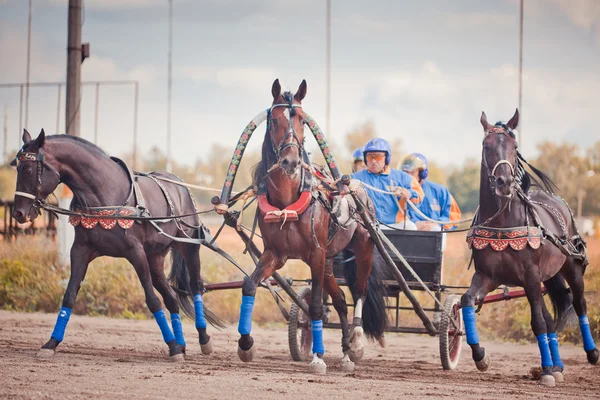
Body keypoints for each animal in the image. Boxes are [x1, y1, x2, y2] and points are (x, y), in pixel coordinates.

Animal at [11, 130, 221, 360]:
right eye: (17, 167)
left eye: (28, 169)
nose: (18, 213)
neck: (104, 196)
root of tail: (179, 184)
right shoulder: (80, 251)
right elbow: (69, 296)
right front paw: (51, 343)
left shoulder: (136, 252)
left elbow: (152, 300)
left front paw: (173, 346)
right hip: (155, 257)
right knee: (172, 297)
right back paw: (181, 343)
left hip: (189, 245)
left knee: (195, 286)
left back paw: (203, 339)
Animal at [234, 79, 384, 374]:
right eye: (274, 120)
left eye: (302, 120)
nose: (291, 161)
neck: (288, 202)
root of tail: (358, 186)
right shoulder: (275, 255)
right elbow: (249, 285)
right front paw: (245, 344)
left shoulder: (315, 253)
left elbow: (315, 306)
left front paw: (317, 357)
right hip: (328, 262)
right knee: (340, 301)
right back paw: (346, 353)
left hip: (363, 248)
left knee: (360, 291)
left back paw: (356, 343)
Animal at [464, 110, 596, 388]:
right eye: (486, 146)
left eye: (514, 147)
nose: (503, 183)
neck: (503, 222)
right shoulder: (488, 276)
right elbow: (466, 299)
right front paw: (481, 356)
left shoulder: (531, 276)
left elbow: (537, 323)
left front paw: (545, 372)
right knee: (549, 318)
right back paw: (557, 366)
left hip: (570, 268)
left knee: (578, 304)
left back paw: (590, 354)